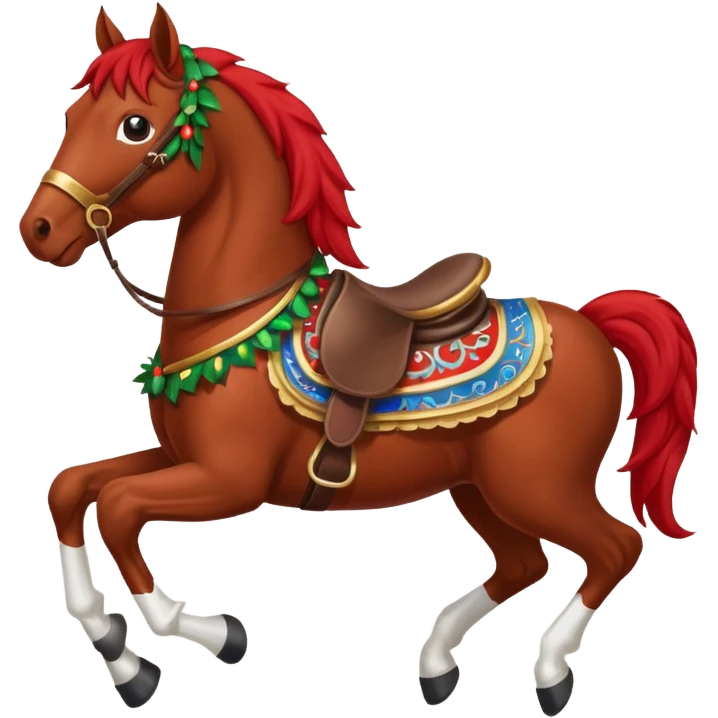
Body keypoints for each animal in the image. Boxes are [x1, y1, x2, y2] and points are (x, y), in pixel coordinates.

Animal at [18, 4, 700, 715]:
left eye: (134, 125)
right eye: (72, 114)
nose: (37, 229)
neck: (247, 320)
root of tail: (591, 323)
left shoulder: (227, 480)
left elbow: (119, 510)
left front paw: (199, 641)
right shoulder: (178, 458)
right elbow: (72, 490)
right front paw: (118, 649)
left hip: (539, 486)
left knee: (615, 547)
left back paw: (549, 671)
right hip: (479, 487)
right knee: (524, 563)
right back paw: (436, 664)